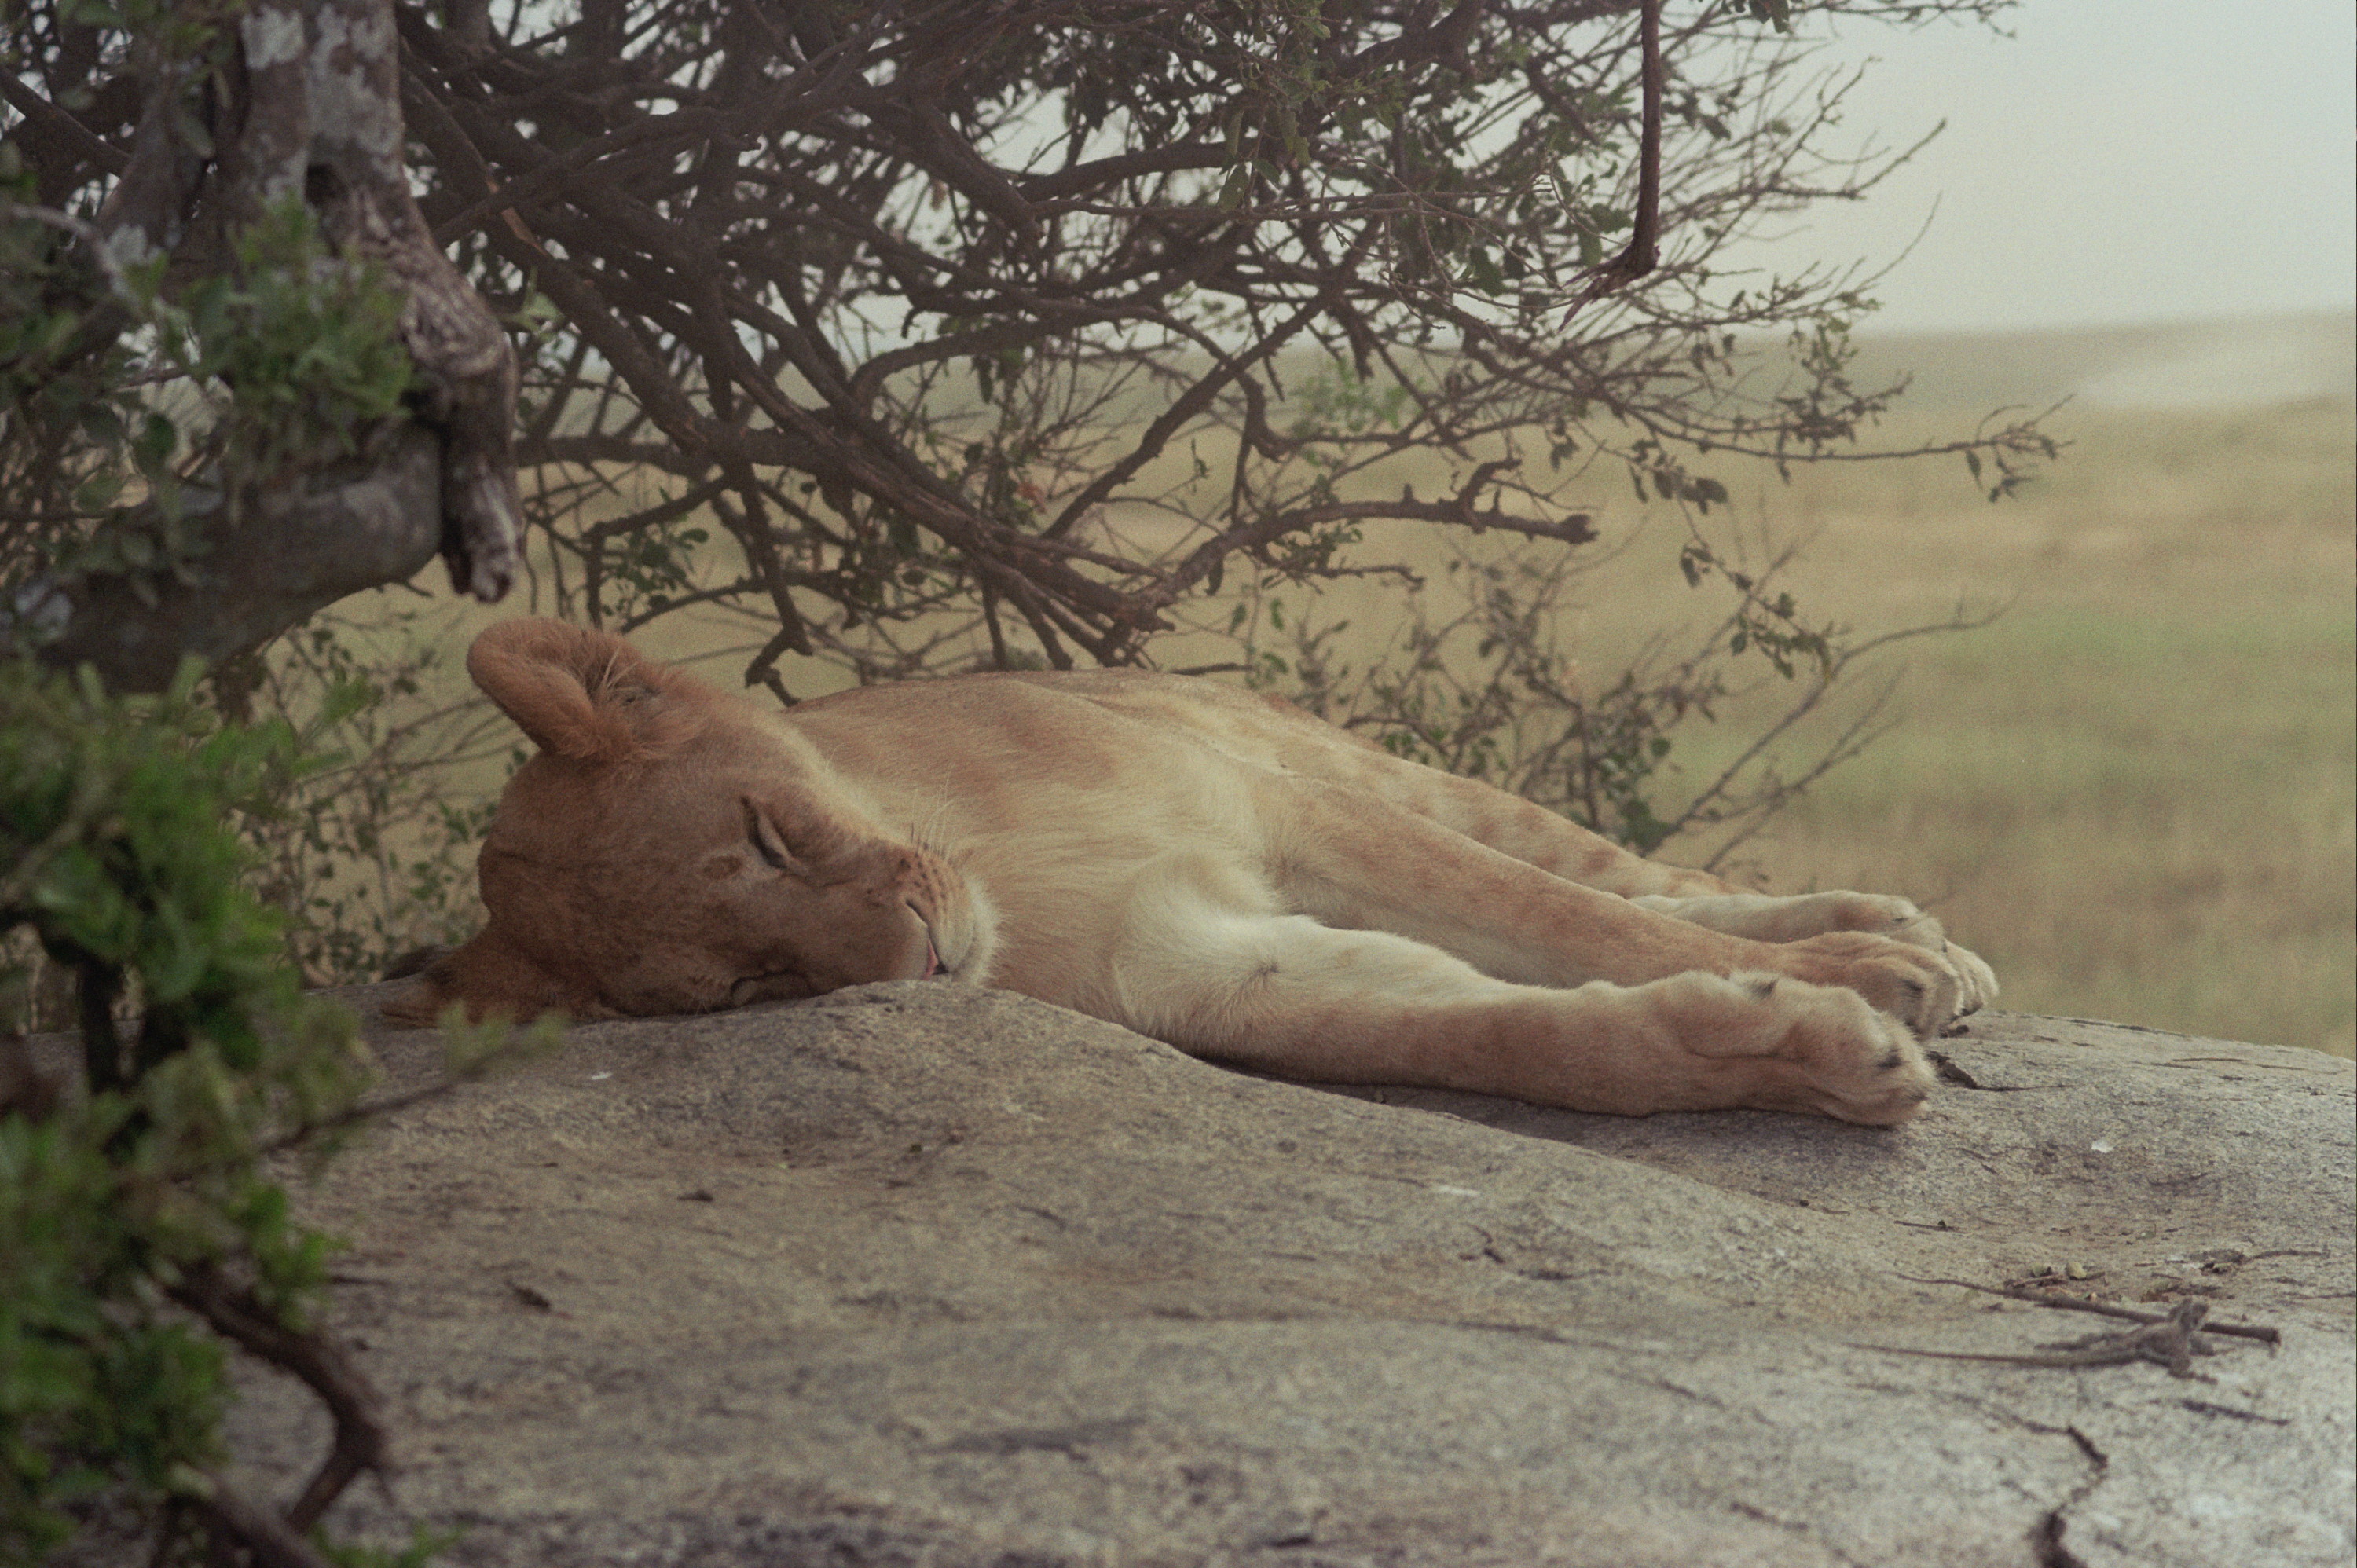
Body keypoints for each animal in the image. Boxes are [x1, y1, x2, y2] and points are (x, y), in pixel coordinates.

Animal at [391, 617, 1989, 1117]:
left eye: (769, 835)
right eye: (738, 990)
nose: (919, 964)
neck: (1002, 883)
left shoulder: (1292, 817)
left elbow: (1572, 916)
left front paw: (1860, 980)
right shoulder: (1214, 974)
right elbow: (1518, 1035)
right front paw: (1816, 1049)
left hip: (1359, 765)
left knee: (1614, 872)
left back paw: (1905, 936)